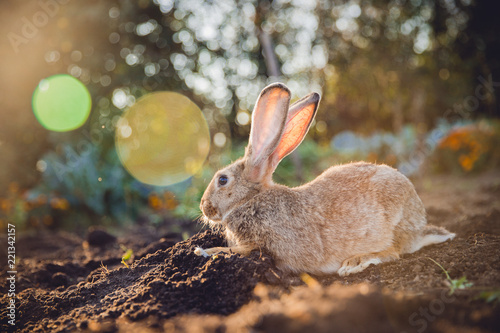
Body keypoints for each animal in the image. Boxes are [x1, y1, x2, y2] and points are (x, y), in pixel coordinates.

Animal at [193, 83, 456, 274]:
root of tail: (420, 226)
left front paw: (203, 251)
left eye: (222, 180)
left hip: (395, 223)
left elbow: (240, 251)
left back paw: (354, 263)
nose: (204, 207)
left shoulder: (266, 246)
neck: (250, 199)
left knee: (394, 252)